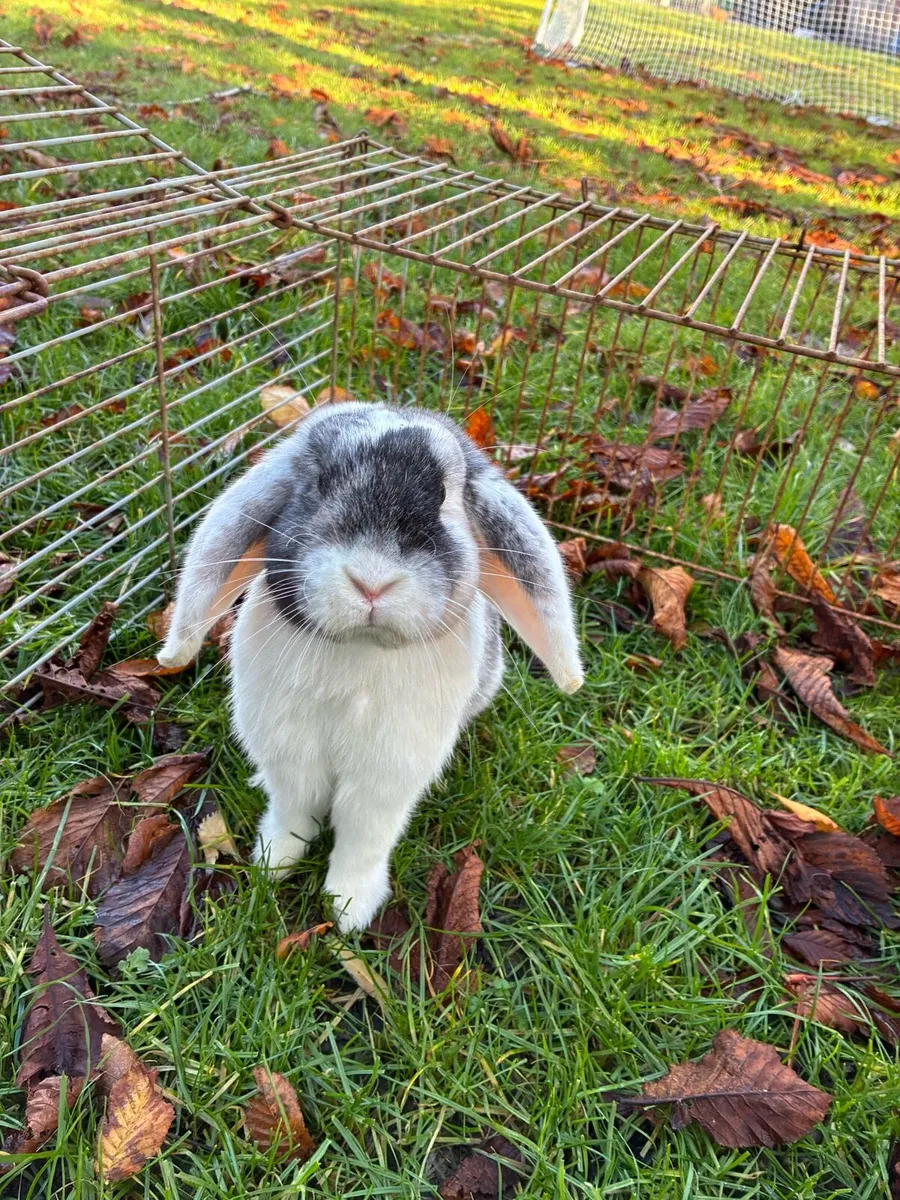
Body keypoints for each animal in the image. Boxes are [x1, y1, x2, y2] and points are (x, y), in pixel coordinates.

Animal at [158, 402, 583, 932]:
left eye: (444, 496)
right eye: (320, 482)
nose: (372, 581)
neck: (359, 650)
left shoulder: (387, 773)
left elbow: (363, 835)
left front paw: (349, 910)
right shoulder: (289, 751)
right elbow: (293, 811)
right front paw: (272, 864)